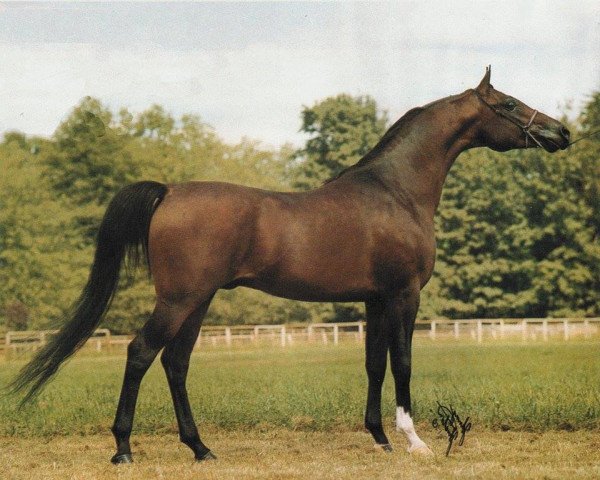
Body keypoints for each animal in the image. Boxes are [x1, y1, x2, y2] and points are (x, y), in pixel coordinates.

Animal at [10, 67, 572, 462]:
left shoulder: (372, 300)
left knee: (175, 362)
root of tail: (169, 191)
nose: (561, 132)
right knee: (141, 352)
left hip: (198, 302)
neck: (394, 192)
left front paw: (380, 440)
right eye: (508, 103)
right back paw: (124, 449)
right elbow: (404, 363)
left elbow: (373, 363)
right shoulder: (404, 295)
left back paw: (201, 448)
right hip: (179, 299)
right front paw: (415, 442)